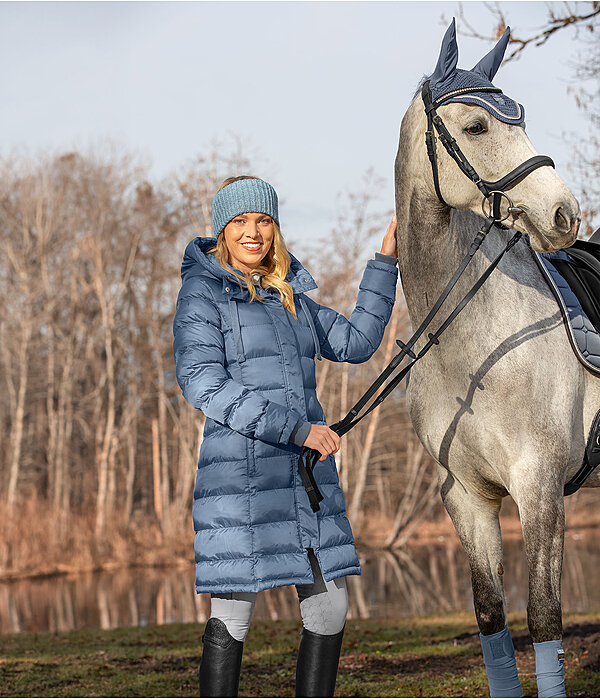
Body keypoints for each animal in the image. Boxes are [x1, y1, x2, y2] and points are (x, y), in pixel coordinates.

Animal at [394, 19, 592, 696]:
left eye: (522, 116)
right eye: (477, 126)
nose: (565, 214)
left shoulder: (540, 487)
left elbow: (545, 619)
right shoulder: (468, 498)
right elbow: (491, 619)